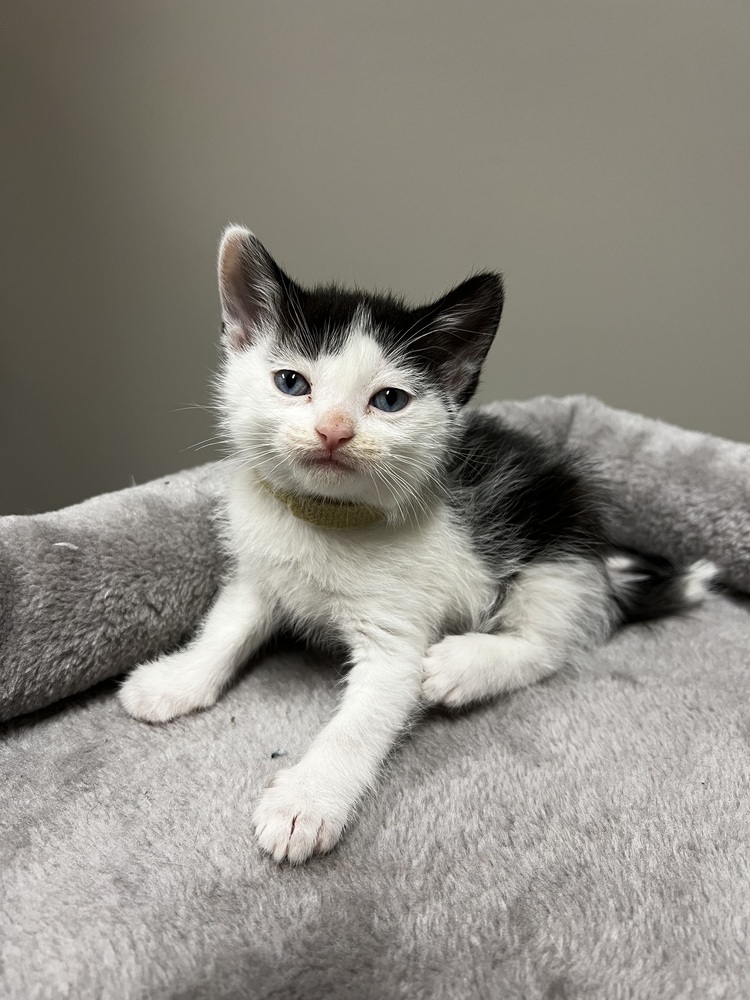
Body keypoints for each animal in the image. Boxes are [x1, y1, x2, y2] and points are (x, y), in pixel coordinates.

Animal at [119, 225, 716, 860]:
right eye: (291, 383)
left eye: (389, 400)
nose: (334, 431)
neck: (327, 517)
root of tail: (602, 562)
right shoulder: (259, 574)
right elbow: (227, 628)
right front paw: (177, 680)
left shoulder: (396, 635)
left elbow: (361, 720)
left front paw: (306, 801)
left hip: (556, 548)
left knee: (548, 645)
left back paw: (462, 666)